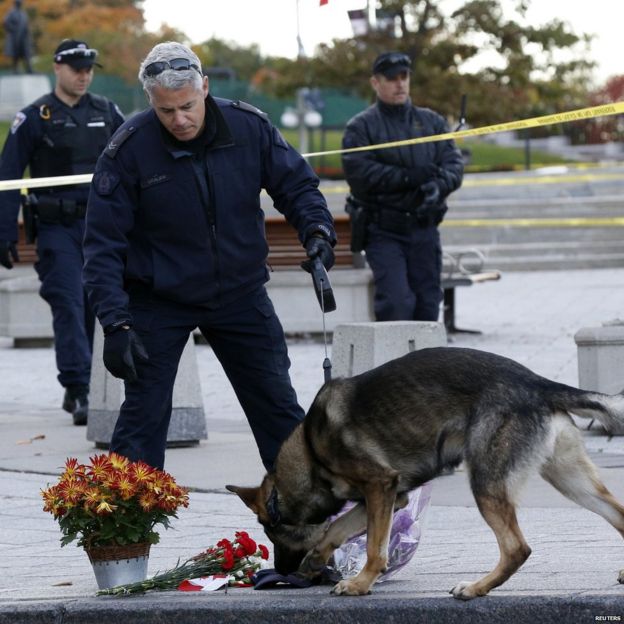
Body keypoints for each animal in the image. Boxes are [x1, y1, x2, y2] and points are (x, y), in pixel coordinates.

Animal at [227, 348, 624, 596]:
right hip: (571, 481)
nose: (284, 572)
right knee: (618, 514)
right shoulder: (390, 498)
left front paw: (360, 583)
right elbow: (336, 529)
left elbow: (373, 547)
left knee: (516, 549)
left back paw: (475, 588)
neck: (310, 450)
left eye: (272, 534)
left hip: (487, 484)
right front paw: (319, 558)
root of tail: (539, 384)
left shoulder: (380, 488)